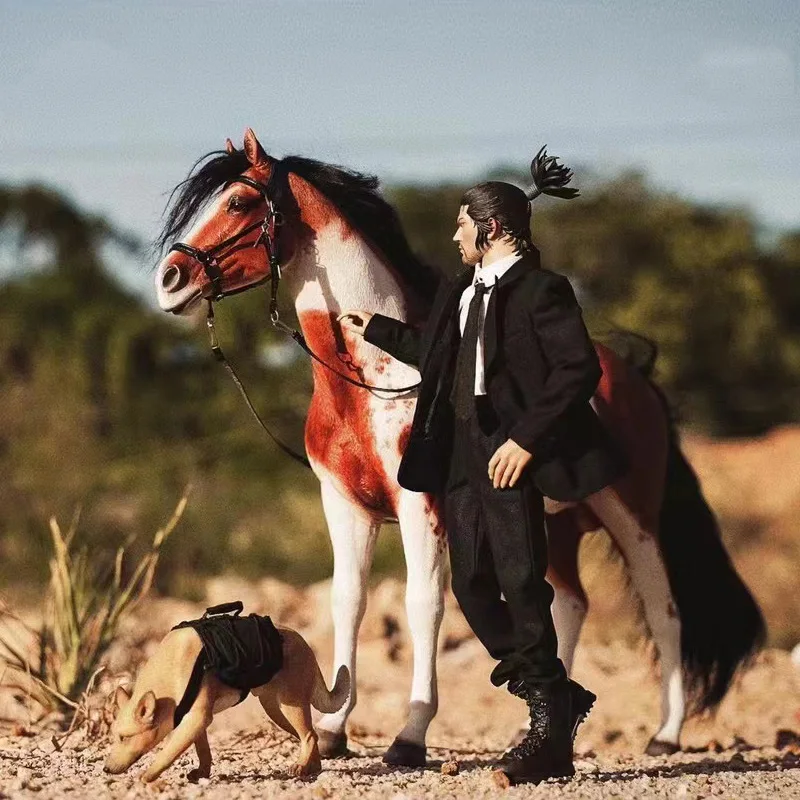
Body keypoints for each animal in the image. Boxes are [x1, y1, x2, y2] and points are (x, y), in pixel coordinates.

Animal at [153, 128, 764, 763]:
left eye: (239, 203)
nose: (170, 280)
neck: (372, 380)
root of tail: (635, 375)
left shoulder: (420, 509)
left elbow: (425, 605)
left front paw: (409, 736)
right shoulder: (345, 508)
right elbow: (348, 602)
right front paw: (335, 729)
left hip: (632, 517)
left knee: (663, 610)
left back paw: (665, 735)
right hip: (557, 524)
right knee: (568, 602)